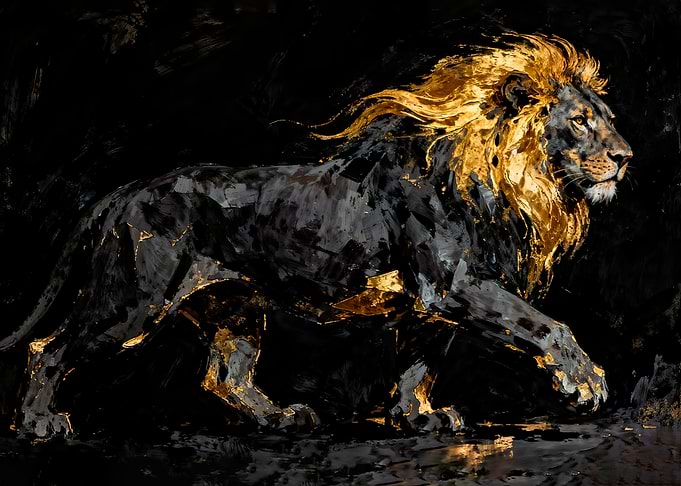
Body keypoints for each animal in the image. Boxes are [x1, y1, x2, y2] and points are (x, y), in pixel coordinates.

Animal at [0, 34, 631, 438]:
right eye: (579, 121)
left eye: (607, 118)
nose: (626, 157)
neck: (513, 186)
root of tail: (123, 191)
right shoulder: (452, 285)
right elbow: (548, 325)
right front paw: (585, 384)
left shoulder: (430, 306)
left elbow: (418, 364)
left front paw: (416, 419)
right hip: (133, 300)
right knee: (48, 349)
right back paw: (38, 424)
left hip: (237, 307)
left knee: (223, 375)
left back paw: (282, 418)